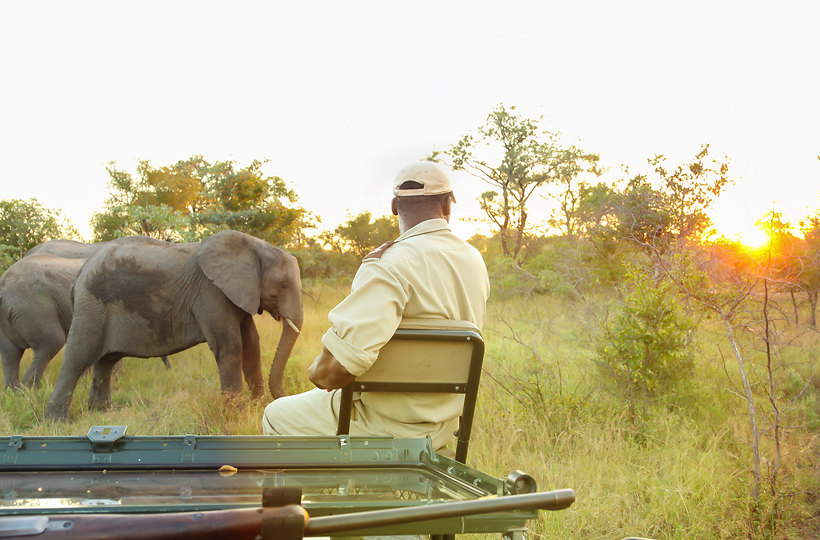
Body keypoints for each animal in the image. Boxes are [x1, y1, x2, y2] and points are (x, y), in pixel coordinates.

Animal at [44, 230, 303, 420]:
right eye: (283, 285)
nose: (286, 397)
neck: (256, 246)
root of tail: (79, 275)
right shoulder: (211, 291)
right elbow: (230, 345)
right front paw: (237, 413)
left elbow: (251, 343)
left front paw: (259, 407)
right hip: (91, 306)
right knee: (77, 358)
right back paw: (58, 420)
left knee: (105, 362)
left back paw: (104, 413)